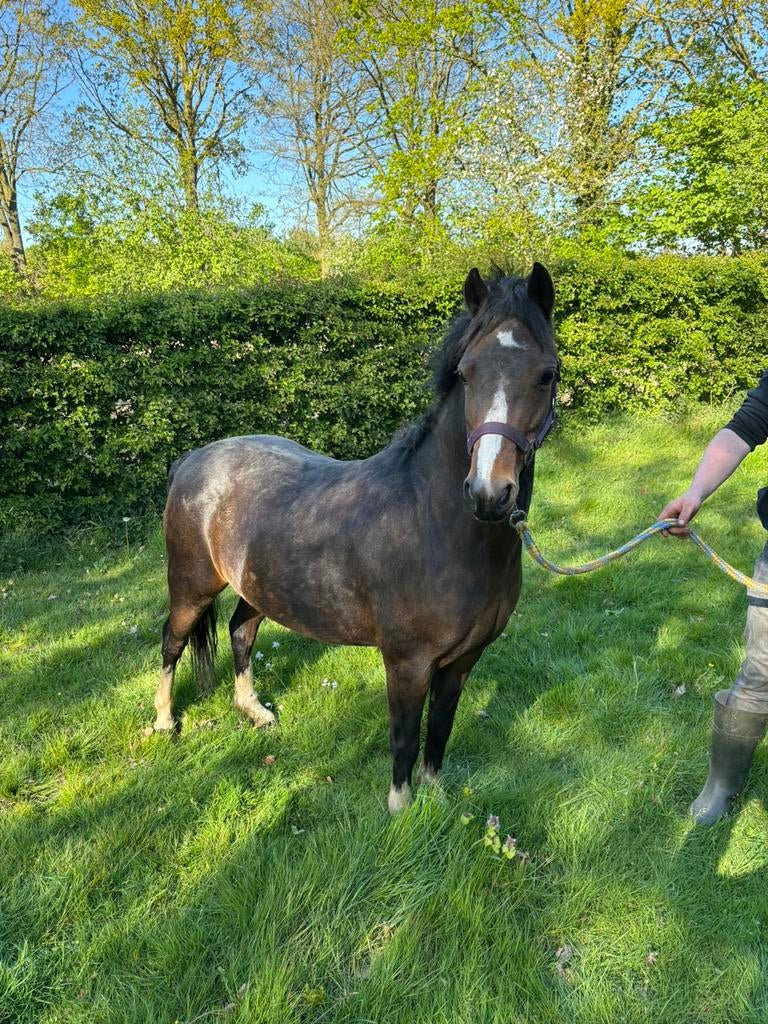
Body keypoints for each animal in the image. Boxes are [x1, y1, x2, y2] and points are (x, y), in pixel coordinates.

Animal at [155, 264, 560, 812]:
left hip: (257, 588)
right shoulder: (407, 663)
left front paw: (437, 800)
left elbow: (440, 730)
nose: (488, 492)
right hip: (191, 587)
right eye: (465, 373)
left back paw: (255, 712)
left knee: (241, 632)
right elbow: (405, 737)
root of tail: (192, 459)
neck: (435, 525)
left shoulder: (463, 661)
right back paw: (163, 722)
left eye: (546, 374)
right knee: (172, 642)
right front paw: (401, 811)